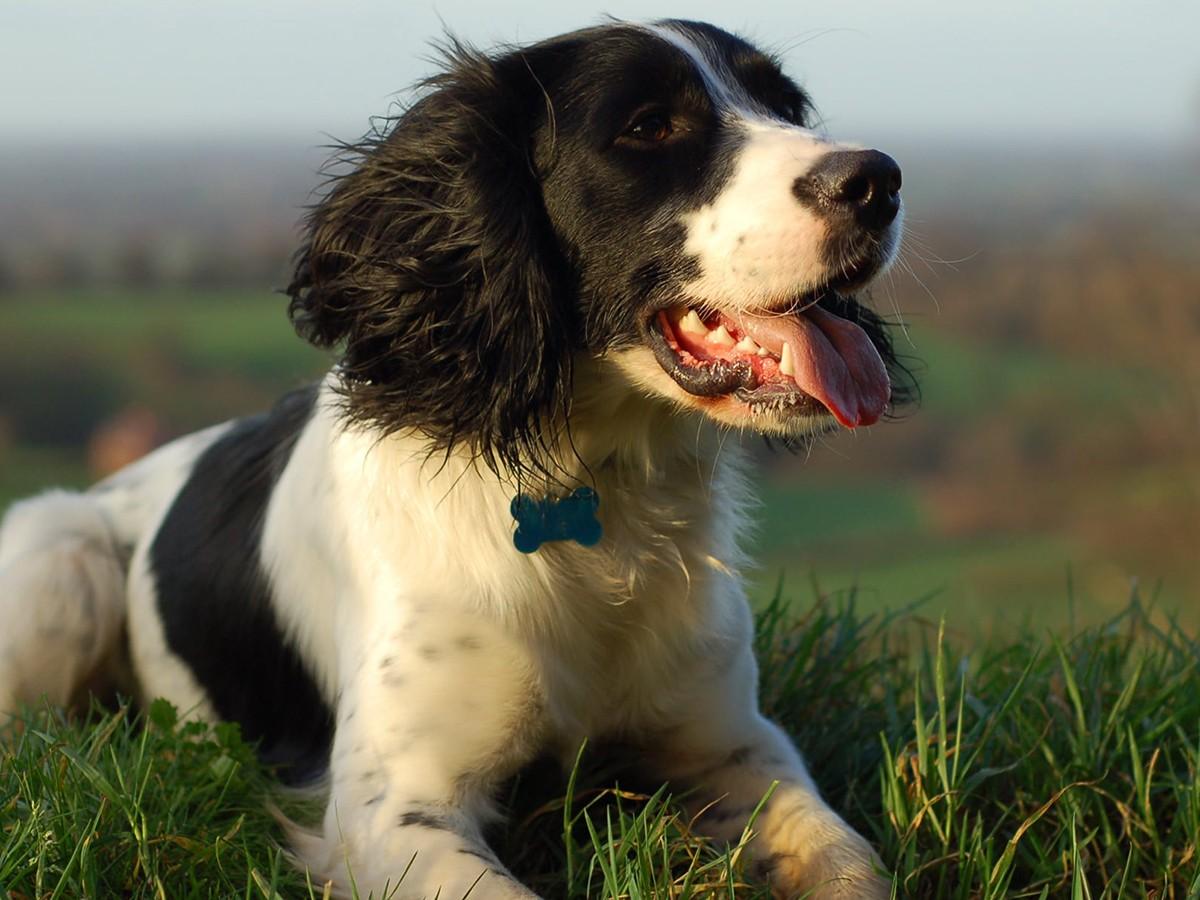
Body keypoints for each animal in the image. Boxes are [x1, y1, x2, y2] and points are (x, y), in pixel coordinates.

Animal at [0, 17, 907, 897]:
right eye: (649, 126)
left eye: (788, 106)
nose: (879, 180)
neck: (595, 488)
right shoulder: (395, 811)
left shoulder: (737, 745)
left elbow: (849, 864)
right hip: (59, 556)